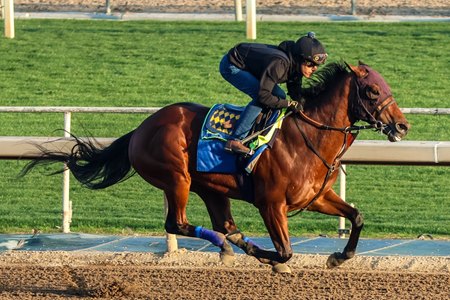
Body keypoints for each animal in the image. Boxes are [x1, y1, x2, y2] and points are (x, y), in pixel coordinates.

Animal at [21, 62, 410, 274]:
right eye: (372, 91)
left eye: (386, 86)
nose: (403, 126)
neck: (308, 136)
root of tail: (140, 129)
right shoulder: (271, 203)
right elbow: (286, 250)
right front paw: (277, 259)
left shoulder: (315, 197)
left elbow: (356, 217)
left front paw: (338, 257)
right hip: (176, 177)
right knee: (177, 223)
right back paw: (236, 248)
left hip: (211, 189)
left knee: (225, 225)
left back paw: (232, 245)